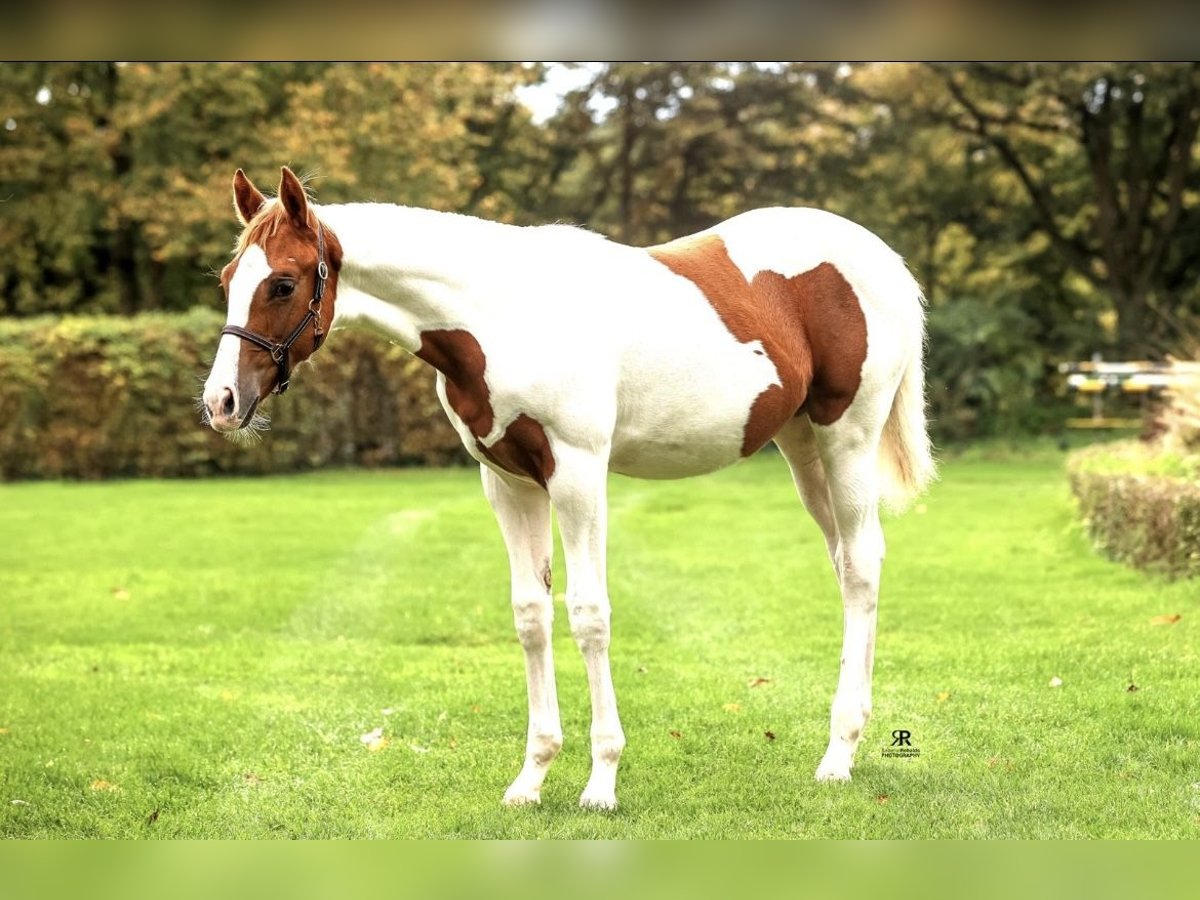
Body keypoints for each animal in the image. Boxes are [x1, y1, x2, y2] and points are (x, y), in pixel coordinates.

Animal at [201, 165, 931, 816]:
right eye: (229, 281)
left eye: (283, 283)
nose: (221, 403)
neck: (500, 314)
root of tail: (882, 258)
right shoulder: (508, 482)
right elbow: (531, 614)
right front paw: (531, 778)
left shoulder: (577, 473)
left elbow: (588, 614)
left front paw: (600, 783)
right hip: (803, 446)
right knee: (851, 562)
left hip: (846, 436)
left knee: (860, 567)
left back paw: (838, 756)